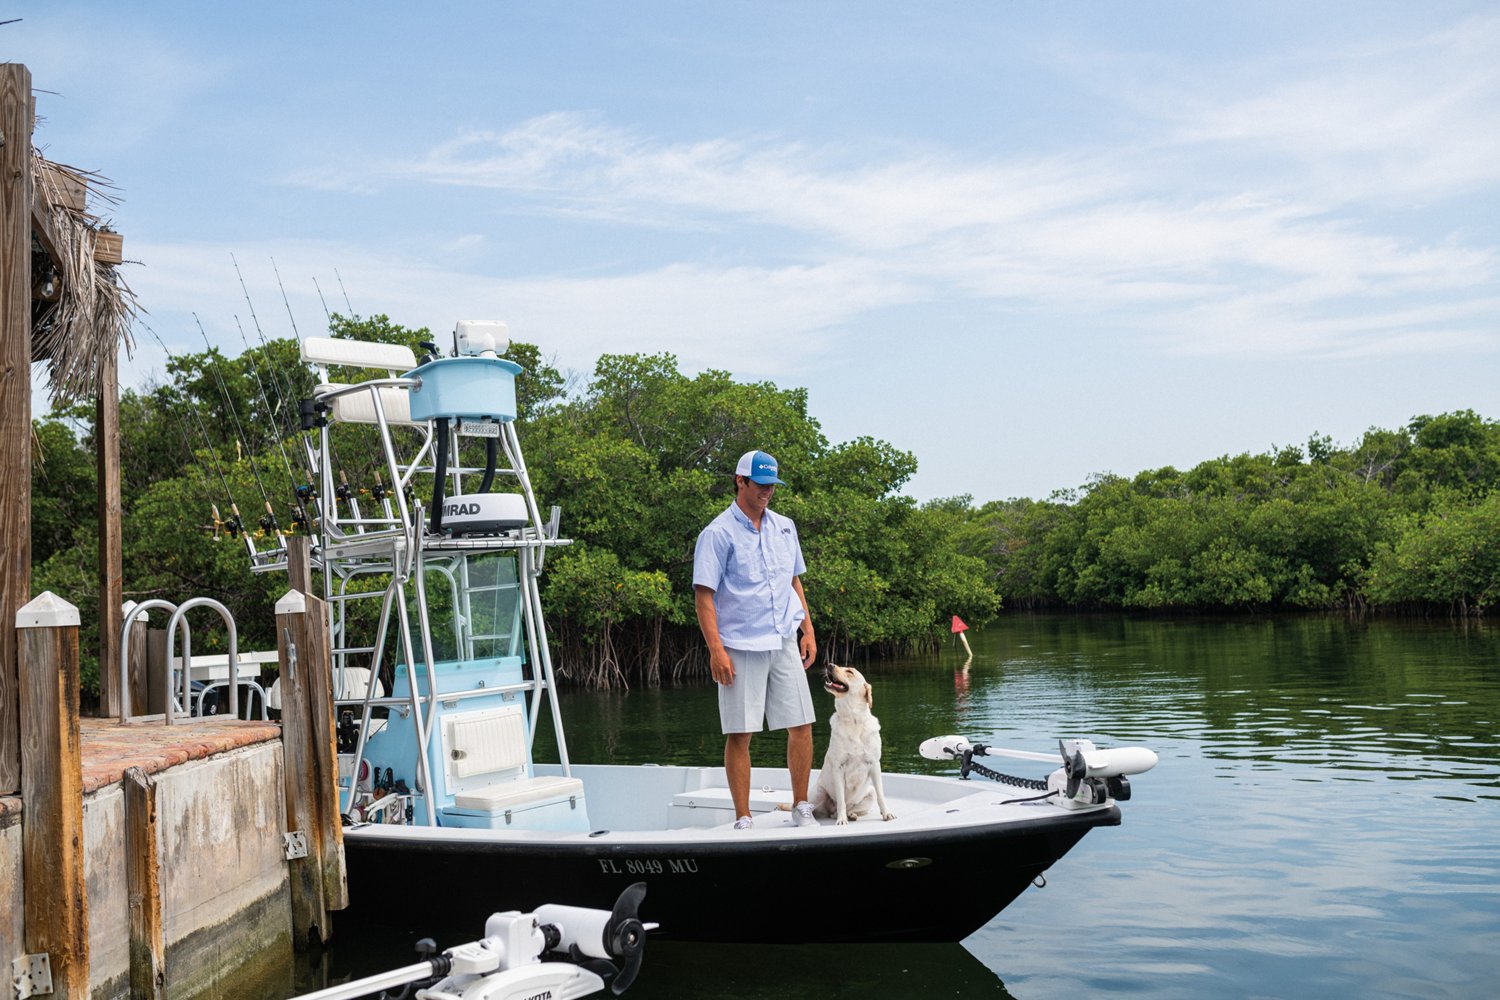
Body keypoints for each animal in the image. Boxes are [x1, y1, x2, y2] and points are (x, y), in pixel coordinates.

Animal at [816, 665, 894, 821]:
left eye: (849, 672)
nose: (829, 664)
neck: (853, 719)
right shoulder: (838, 767)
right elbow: (841, 799)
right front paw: (841, 820)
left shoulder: (874, 764)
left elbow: (881, 795)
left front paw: (886, 813)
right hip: (818, 793)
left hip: (870, 793)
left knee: (849, 808)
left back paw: (851, 814)